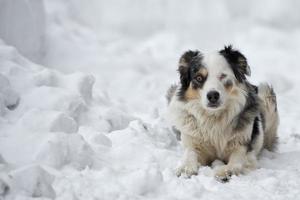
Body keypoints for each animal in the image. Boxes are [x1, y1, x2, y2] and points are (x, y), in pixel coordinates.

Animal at [166, 45, 278, 181]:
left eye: (223, 76)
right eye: (199, 78)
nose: (213, 96)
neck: (214, 118)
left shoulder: (243, 145)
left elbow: (237, 161)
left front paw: (226, 171)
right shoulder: (193, 141)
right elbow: (190, 153)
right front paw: (185, 168)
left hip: (265, 92)